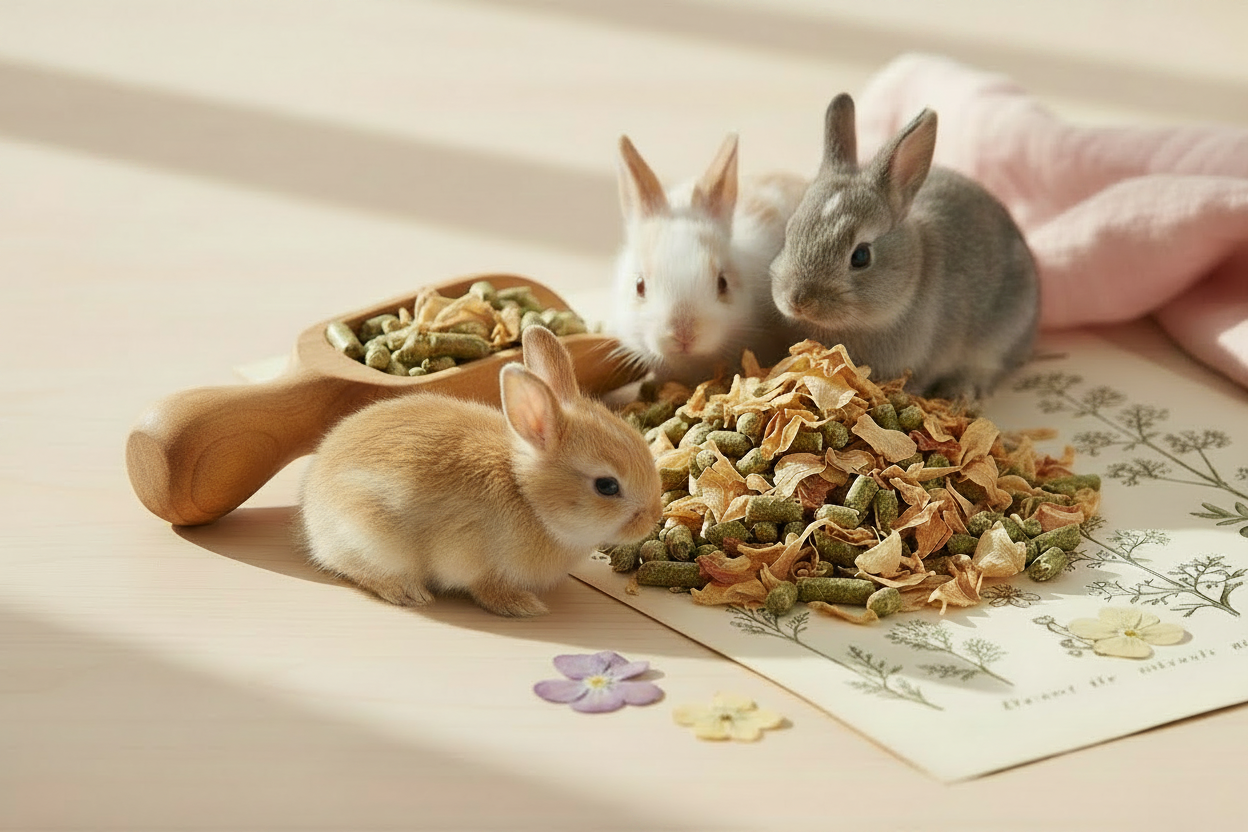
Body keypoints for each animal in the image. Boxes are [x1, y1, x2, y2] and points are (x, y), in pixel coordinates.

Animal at [297, 325, 664, 617]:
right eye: (607, 486)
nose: (652, 519)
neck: (528, 496)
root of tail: (313, 512)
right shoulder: (482, 567)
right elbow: (487, 590)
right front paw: (524, 606)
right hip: (369, 538)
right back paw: (409, 593)